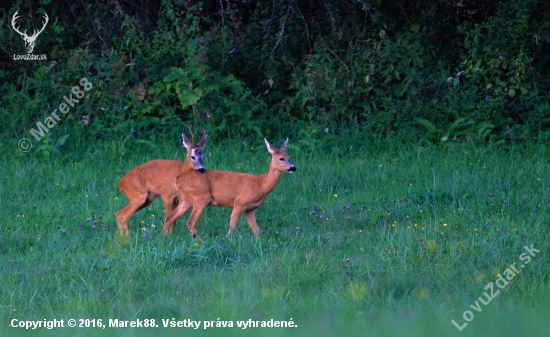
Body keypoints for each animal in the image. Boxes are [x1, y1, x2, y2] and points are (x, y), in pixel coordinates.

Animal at [164, 137, 298, 239]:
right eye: (281, 158)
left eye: (289, 157)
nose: (293, 167)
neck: (260, 185)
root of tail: (178, 179)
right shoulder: (239, 203)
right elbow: (232, 226)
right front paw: (228, 240)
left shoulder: (250, 209)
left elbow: (256, 229)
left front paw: (259, 242)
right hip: (201, 198)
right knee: (190, 222)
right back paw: (201, 242)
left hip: (186, 200)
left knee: (169, 217)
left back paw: (165, 239)